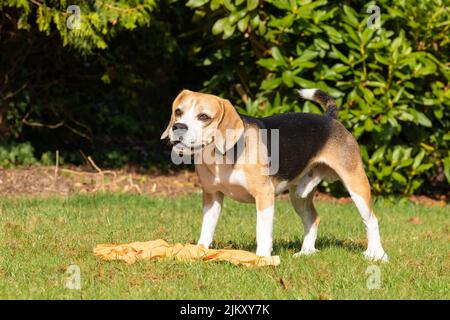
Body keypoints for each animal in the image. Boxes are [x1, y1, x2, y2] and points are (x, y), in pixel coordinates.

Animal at [161, 89, 386, 262]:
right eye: (178, 112)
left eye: (204, 117)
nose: (178, 127)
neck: (221, 155)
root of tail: (330, 118)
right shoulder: (212, 196)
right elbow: (207, 228)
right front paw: (199, 251)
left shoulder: (264, 195)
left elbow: (262, 231)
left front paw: (262, 258)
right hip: (299, 196)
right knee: (313, 219)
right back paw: (306, 252)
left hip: (355, 184)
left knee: (372, 220)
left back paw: (377, 255)